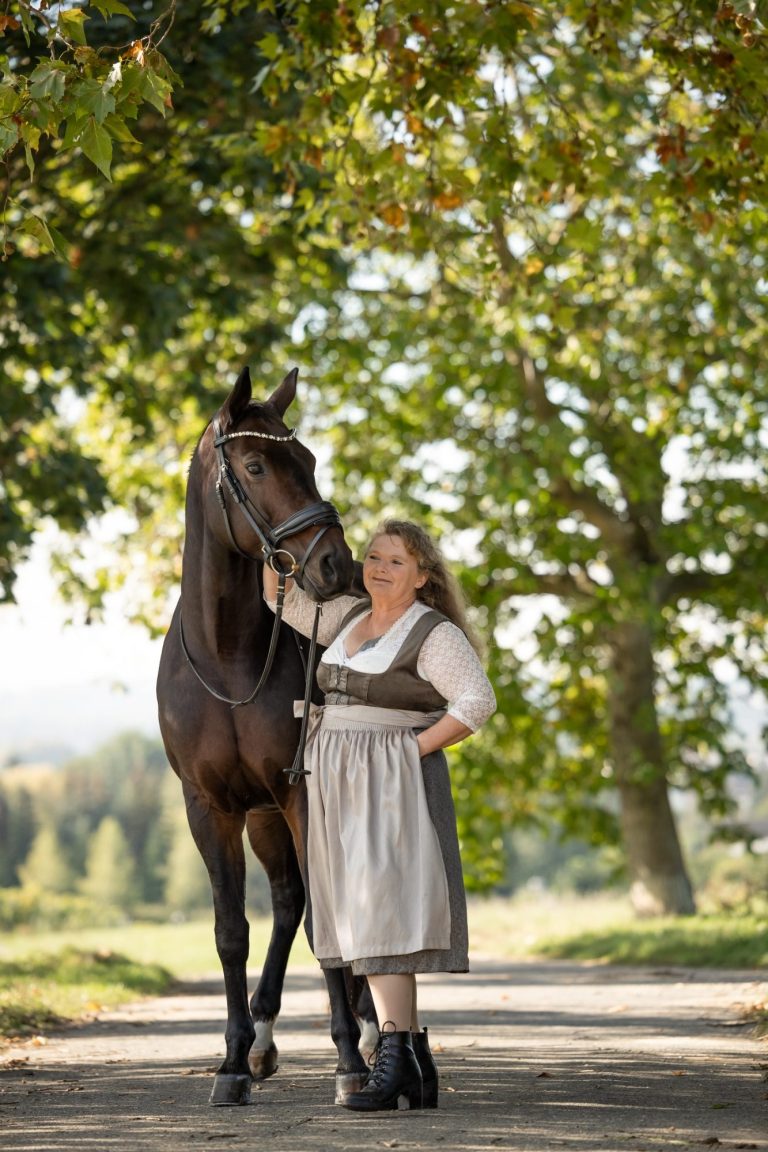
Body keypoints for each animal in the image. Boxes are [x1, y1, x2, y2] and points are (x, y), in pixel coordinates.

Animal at [156, 366, 375, 1106]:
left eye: (307, 459)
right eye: (255, 466)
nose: (336, 564)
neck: (227, 657)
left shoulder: (301, 792)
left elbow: (327, 921)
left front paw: (350, 1061)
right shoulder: (212, 808)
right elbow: (232, 930)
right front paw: (230, 1062)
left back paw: (368, 1031)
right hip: (263, 818)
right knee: (285, 903)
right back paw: (261, 1039)